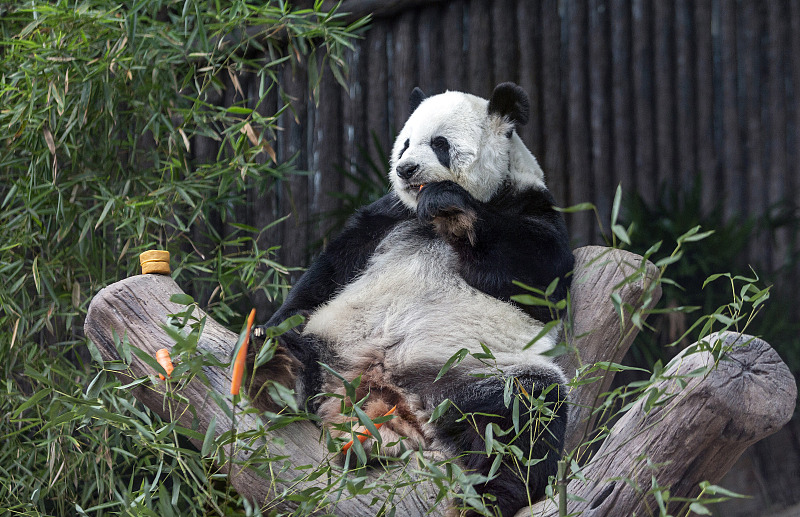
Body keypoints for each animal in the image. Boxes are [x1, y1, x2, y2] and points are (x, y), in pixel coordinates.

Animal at [252, 82, 574, 516]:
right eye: (404, 144)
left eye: (439, 144)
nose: (406, 169)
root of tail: (382, 388)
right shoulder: (386, 218)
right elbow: (330, 269)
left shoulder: (531, 205)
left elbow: (541, 274)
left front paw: (450, 204)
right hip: (335, 339)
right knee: (301, 345)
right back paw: (273, 364)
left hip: (474, 369)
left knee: (525, 415)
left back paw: (490, 495)